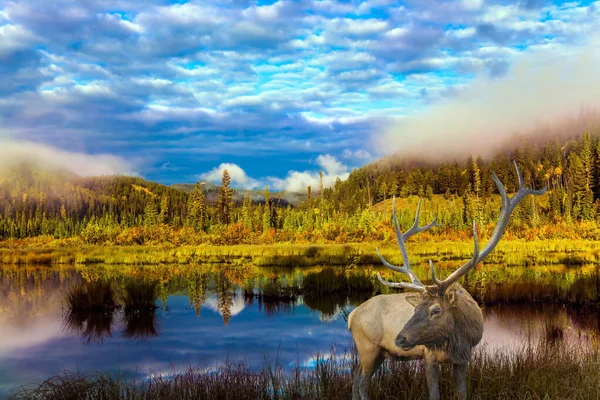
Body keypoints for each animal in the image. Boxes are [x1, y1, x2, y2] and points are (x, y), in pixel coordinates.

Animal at [346, 162, 548, 400]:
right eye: (416, 309)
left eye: (436, 310)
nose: (400, 338)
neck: (456, 338)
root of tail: (351, 316)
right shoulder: (429, 355)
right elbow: (434, 394)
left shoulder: (464, 358)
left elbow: (462, 392)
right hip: (368, 347)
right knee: (362, 381)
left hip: (378, 353)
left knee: (355, 376)